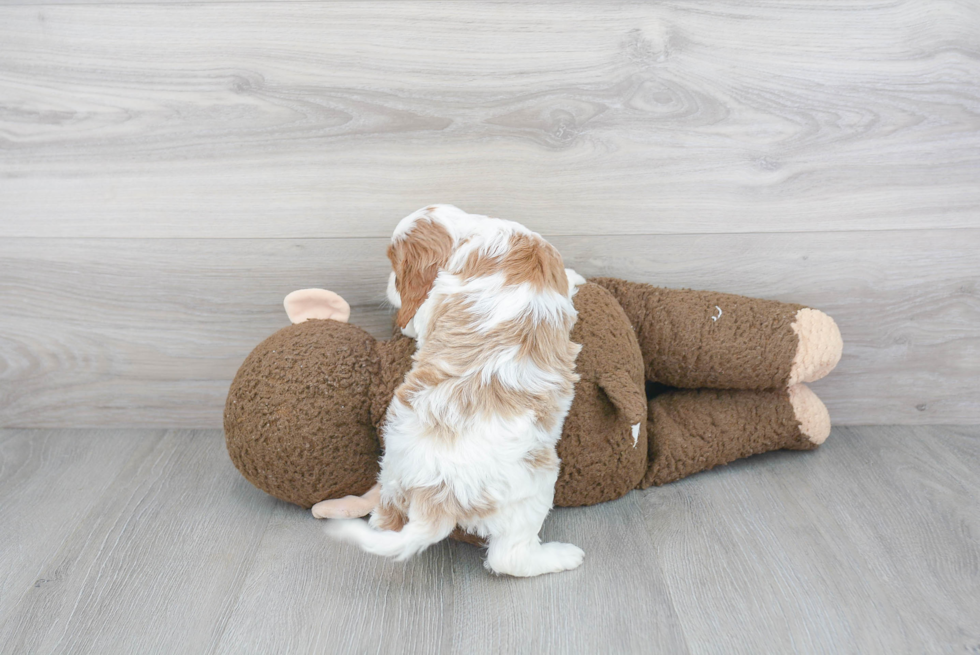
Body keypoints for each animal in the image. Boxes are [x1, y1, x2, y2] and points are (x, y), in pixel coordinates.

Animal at [324, 205, 580, 580]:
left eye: (394, 265)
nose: (387, 285)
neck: (472, 234)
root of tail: (436, 495)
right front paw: (576, 276)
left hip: (392, 476)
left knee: (384, 520)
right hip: (537, 484)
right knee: (508, 558)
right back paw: (561, 556)